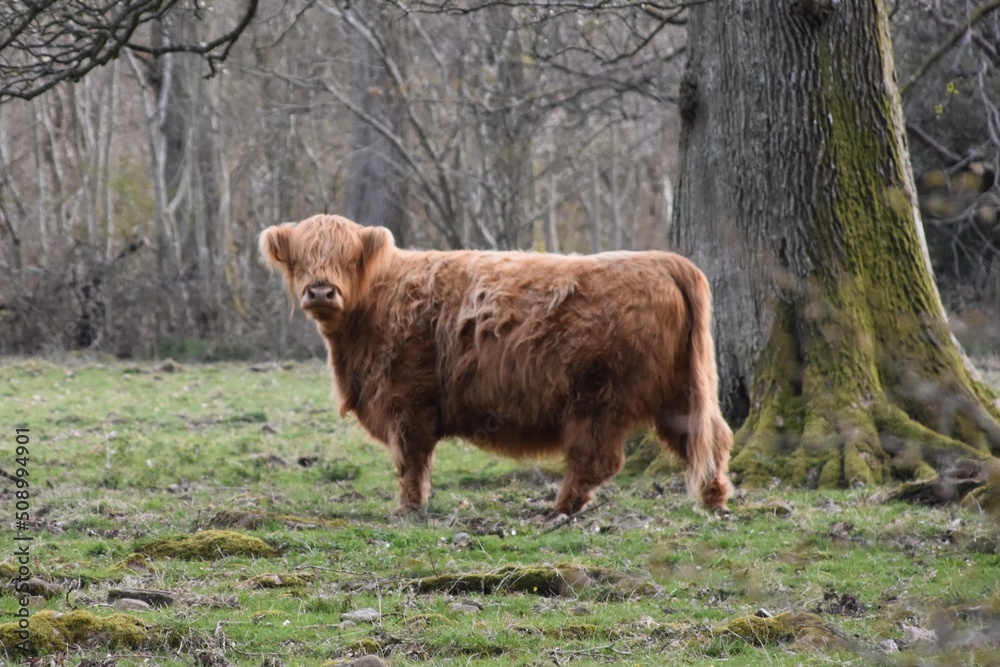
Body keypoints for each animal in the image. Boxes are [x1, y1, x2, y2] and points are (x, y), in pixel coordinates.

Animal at [260, 214, 736, 516]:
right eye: (301, 257)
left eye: (348, 257)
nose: (321, 291)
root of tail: (663, 260)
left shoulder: (407, 397)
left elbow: (410, 458)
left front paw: (409, 506)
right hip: (679, 391)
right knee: (709, 438)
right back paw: (715, 499)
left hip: (597, 394)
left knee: (596, 458)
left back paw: (559, 508)